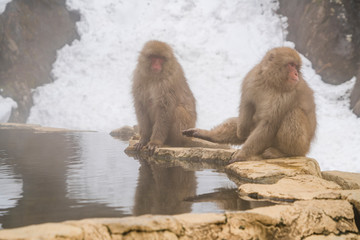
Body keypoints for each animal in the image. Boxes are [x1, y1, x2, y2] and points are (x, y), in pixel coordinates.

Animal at [184, 47, 316, 163]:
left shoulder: (289, 96)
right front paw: (241, 131)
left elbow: (269, 124)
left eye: (296, 67)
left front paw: (242, 154)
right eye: (291, 65)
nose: (296, 74)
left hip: (302, 146)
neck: (271, 83)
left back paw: (283, 152)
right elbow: (247, 104)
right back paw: (209, 135)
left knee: (294, 113)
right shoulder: (251, 79)